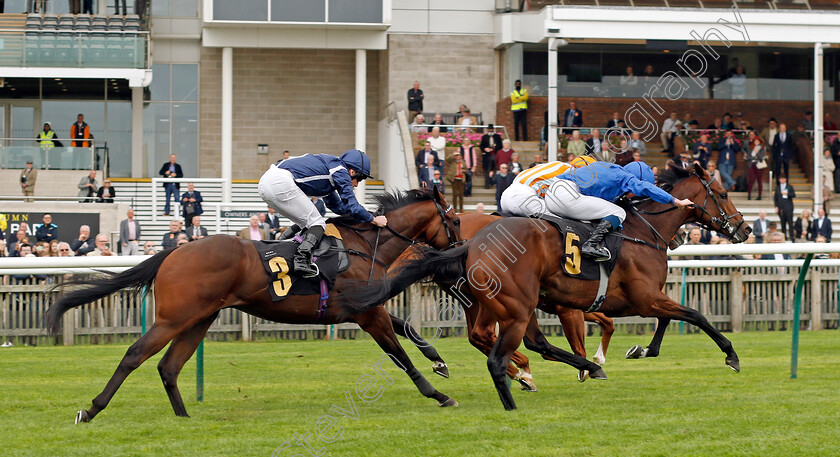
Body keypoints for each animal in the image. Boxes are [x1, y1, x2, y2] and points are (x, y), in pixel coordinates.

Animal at [45, 187, 460, 422]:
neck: (363, 246)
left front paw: (440, 362)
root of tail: (173, 252)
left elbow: (409, 329)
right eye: (455, 220)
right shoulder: (368, 313)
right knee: (135, 355)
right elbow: (399, 356)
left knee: (169, 366)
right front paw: (438, 395)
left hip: (199, 318)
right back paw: (92, 409)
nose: (459, 251)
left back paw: (184, 416)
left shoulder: (364, 308)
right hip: (174, 318)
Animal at [344, 163, 752, 410]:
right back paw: (531, 373)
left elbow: (667, 319)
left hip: (504, 302)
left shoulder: (637, 299)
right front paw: (731, 355)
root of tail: (469, 243)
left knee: (518, 341)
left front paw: (640, 350)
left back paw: (537, 372)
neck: (640, 232)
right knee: (507, 341)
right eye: (722, 193)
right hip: (512, 301)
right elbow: (695, 315)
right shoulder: (641, 297)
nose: (745, 228)